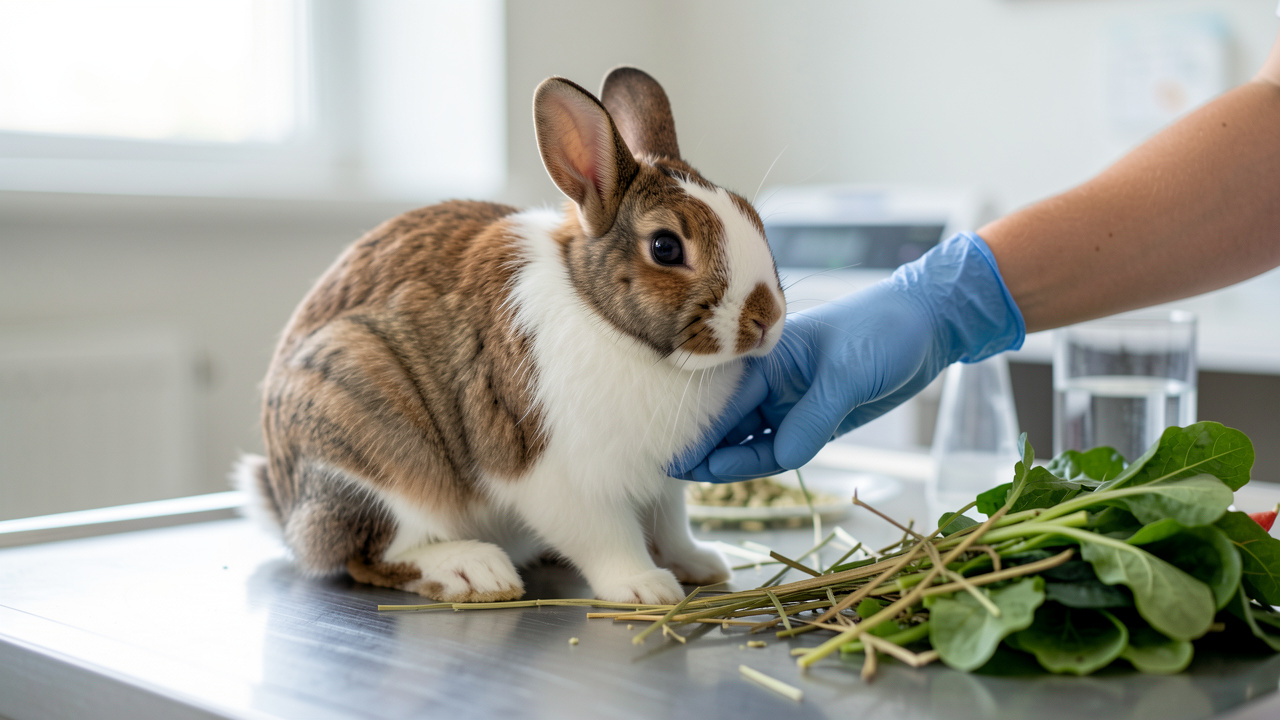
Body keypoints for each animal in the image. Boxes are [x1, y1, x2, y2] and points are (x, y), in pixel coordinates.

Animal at [234, 67, 785, 606]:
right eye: (666, 247)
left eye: (751, 214)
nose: (767, 318)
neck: (604, 318)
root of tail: (292, 516)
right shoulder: (560, 478)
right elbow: (607, 539)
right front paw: (644, 587)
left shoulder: (664, 485)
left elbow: (671, 528)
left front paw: (702, 564)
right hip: (376, 452)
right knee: (375, 555)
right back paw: (475, 571)